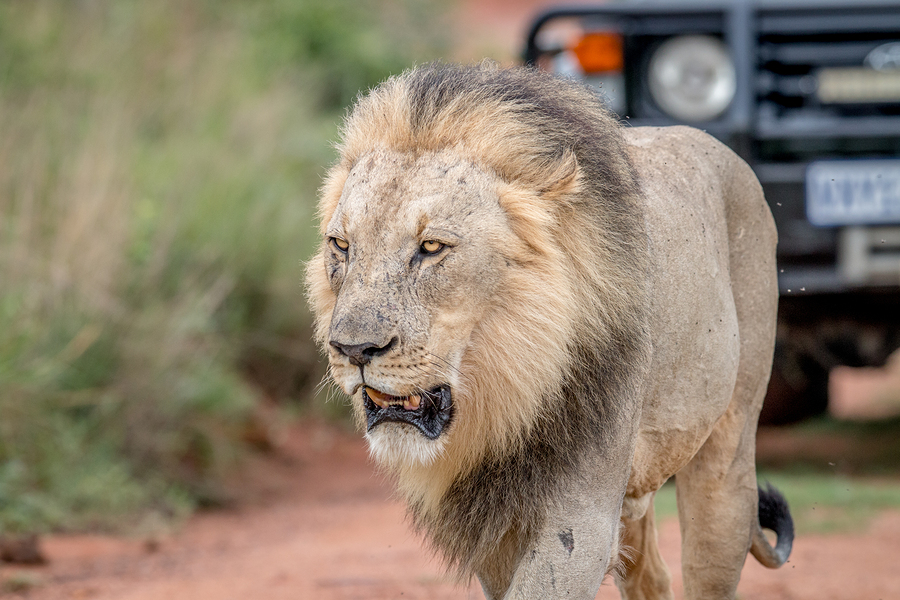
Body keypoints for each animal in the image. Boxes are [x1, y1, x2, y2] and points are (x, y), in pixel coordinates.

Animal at [306, 63, 792, 596]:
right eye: (341, 245)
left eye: (432, 247)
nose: (353, 349)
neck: (508, 396)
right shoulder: (497, 531)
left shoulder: (581, 522)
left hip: (727, 457)